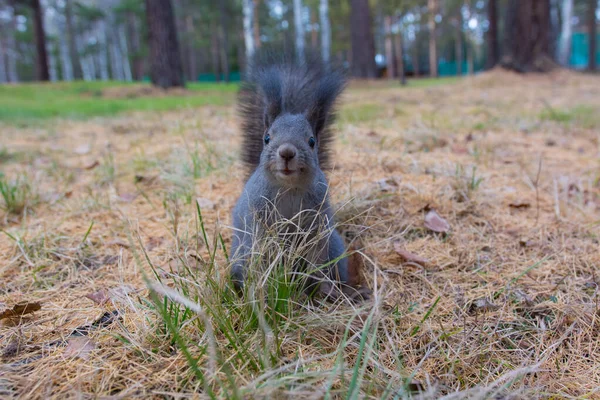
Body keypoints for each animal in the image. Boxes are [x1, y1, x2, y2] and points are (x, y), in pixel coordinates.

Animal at [230, 54, 368, 302]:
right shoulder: (259, 218)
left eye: (311, 141)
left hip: (334, 248)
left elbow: (316, 259)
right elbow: (262, 253)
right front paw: (262, 291)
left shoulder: (317, 224)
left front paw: (321, 290)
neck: (289, 188)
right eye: (267, 138)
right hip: (240, 254)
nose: (286, 152)